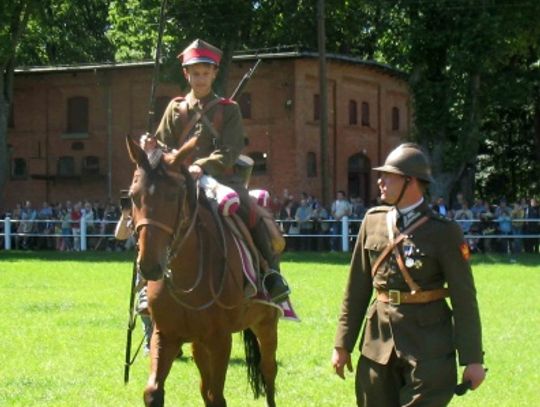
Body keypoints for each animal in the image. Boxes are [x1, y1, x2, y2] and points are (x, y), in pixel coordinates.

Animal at [125, 137, 280, 407]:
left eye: (173, 195)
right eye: (134, 196)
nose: (149, 265)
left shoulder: (220, 340)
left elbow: (217, 396)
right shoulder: (165, 335)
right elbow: (153, 392)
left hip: (266, 323)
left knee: (268, 371)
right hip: (198, 342)